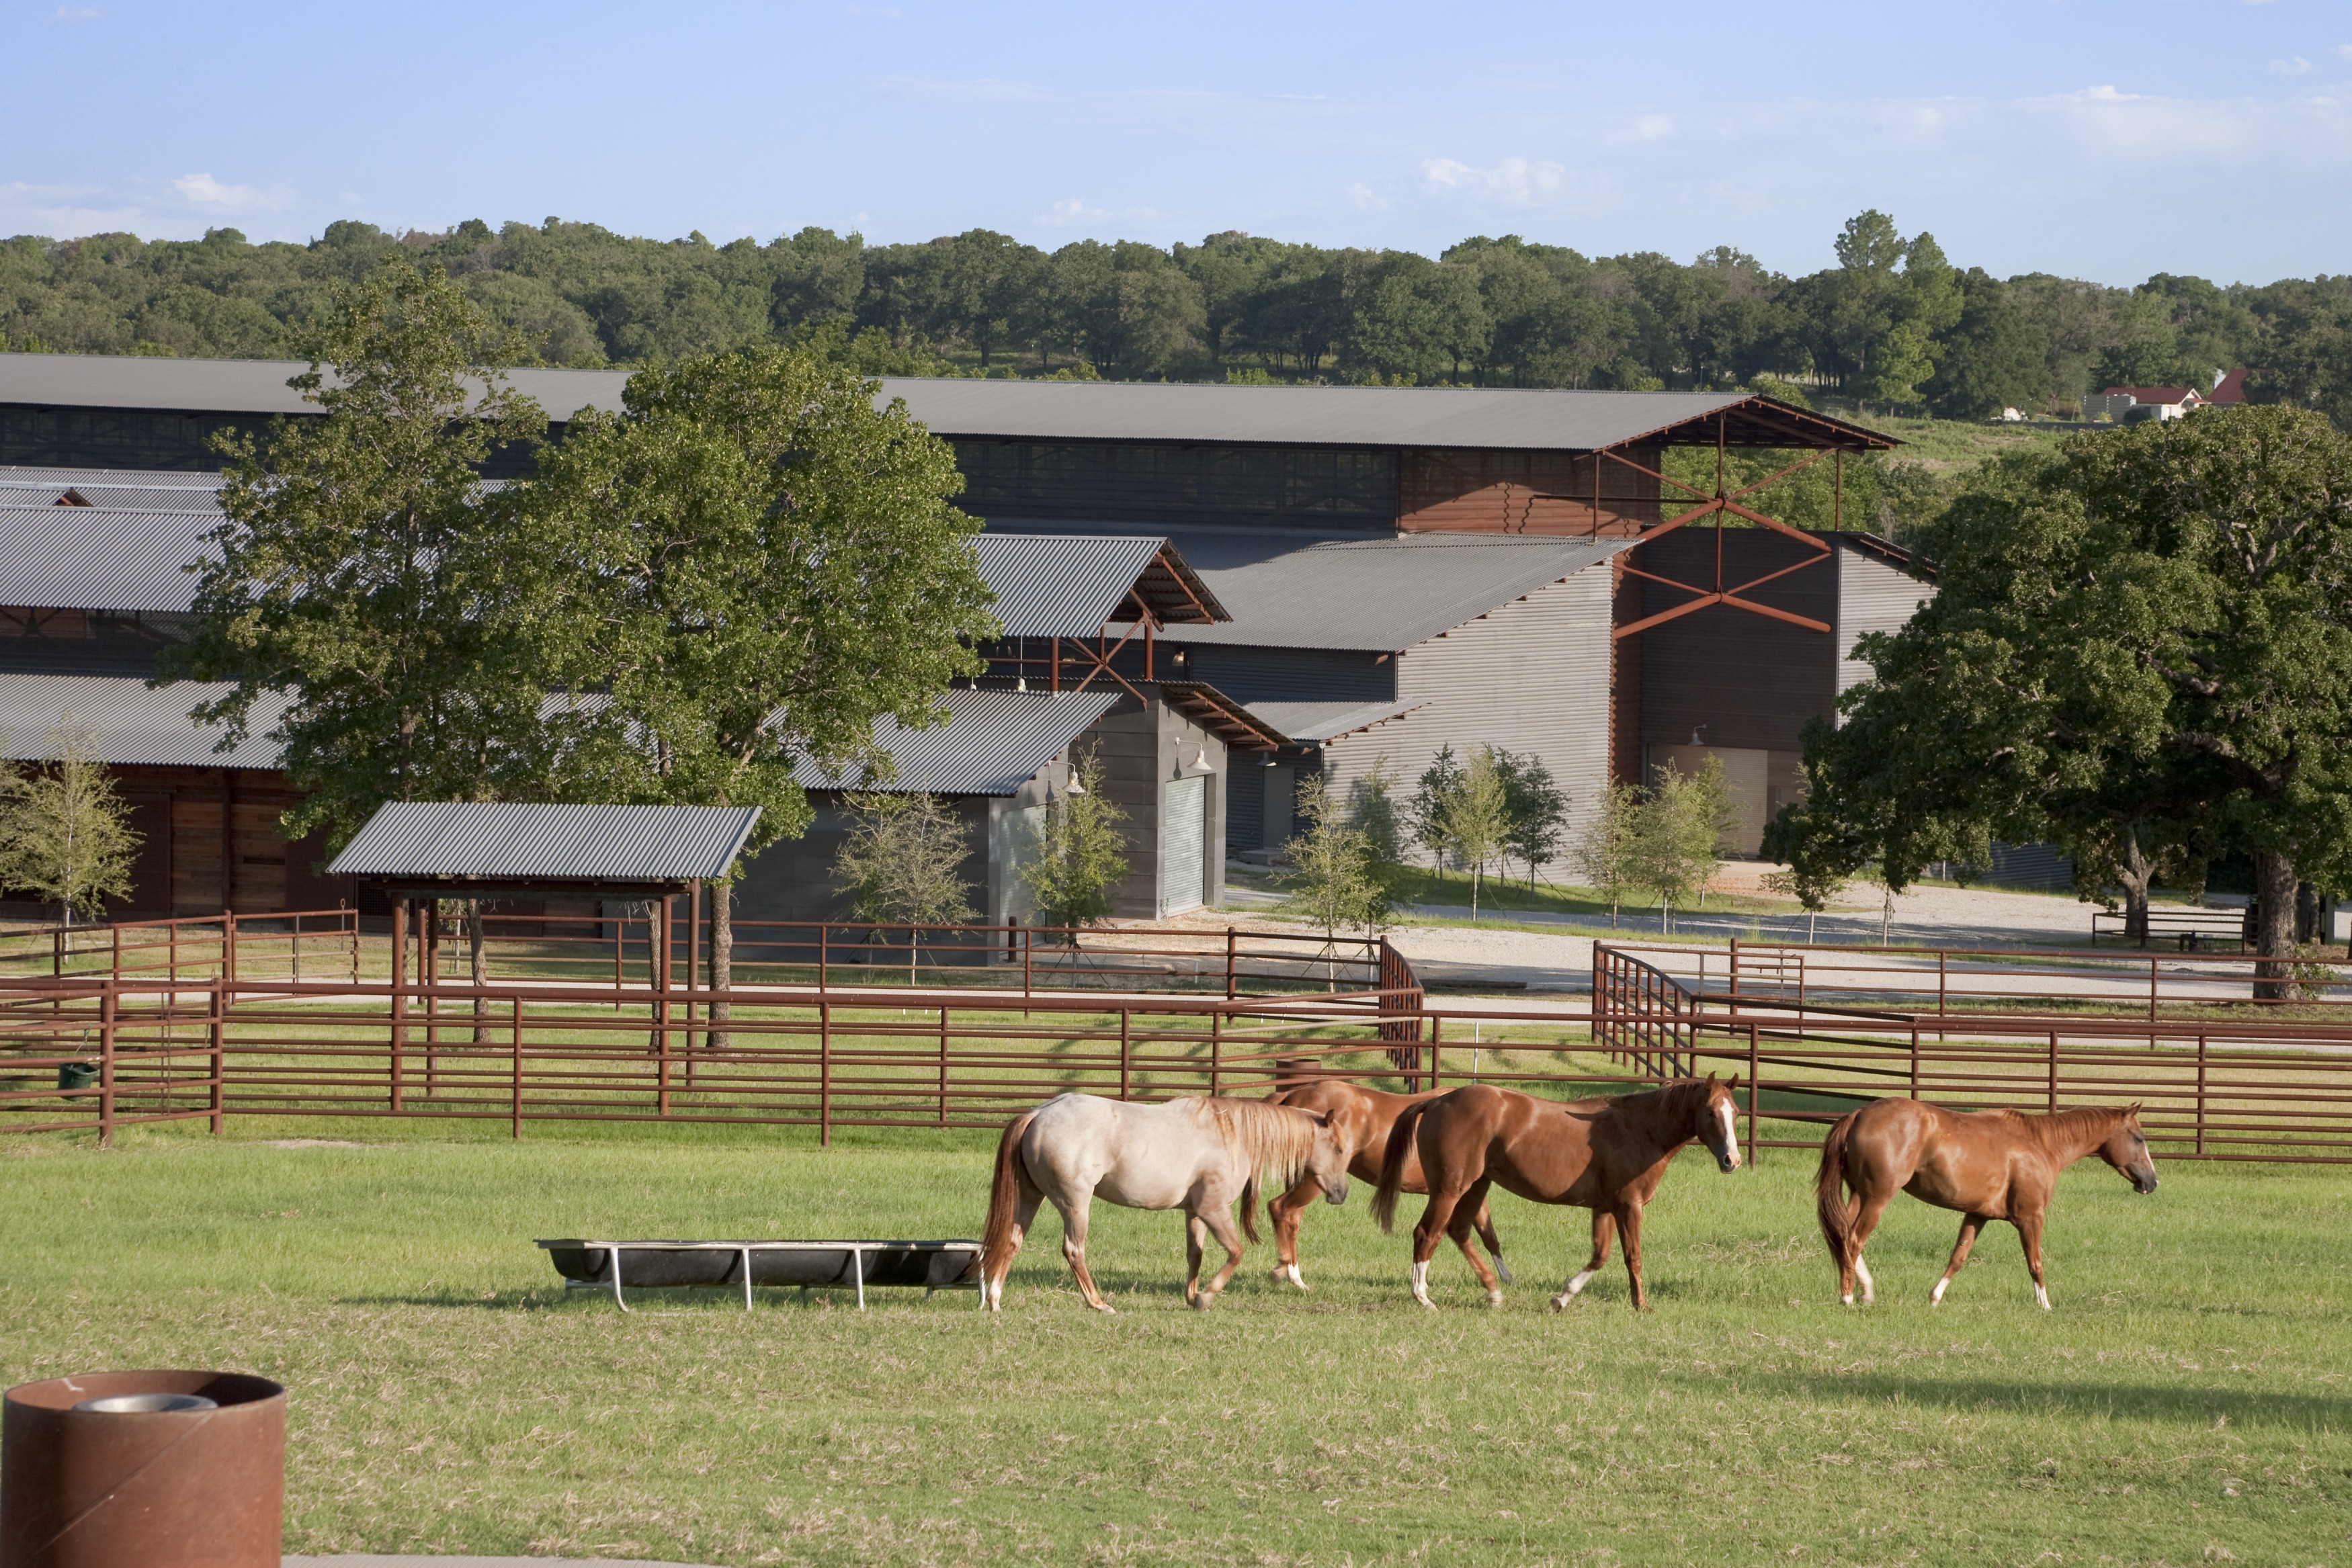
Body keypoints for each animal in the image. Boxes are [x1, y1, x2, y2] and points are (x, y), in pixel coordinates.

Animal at [974, 1100, 1345, 1316]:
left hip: (1030, 1197)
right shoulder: (1213, 1209)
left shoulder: (1195, 1213)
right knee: (1074, 1250)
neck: (1232, 1135)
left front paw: (1193, 1297)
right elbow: (1236, 1252)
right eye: (1340, 1149)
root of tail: (1037, 1114)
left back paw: (994, 1300)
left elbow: (1195, 1255)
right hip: (1075, 1203)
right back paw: (1098, 1303)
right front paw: (1207, 1296)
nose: (1341, 1193)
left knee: (1012, 1242)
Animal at [1261, 1086, 1515, 1297]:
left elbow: (1489, 1236)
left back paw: (1296, 1278)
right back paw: (1283, 1271)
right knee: (1279, 1208)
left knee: (1292, 1221)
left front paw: (1506, 1278)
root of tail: (1292, 1095)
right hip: (1311, 1183)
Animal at [1364, 1081, 1750, 1316]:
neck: (1641, 1128)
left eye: (1736, 1113)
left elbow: (1600, 1256)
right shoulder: (1629, 1207)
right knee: (1427, 1234)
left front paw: (1561, 1298)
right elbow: (1633, 1258)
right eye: (1711, 1112)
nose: (1732, 1160)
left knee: (1459, 1232)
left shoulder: (1604, 1208)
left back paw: (1494, 1292)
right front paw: (1641, 1305)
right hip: (1449, 1189)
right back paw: (1423, 1297)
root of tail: (1436, 1101)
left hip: (1476, 1186)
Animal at [1806, 1100, 2154, 1307]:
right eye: (2139, 1139)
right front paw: (2045, 1306)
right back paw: (1848, 1298)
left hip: (1859, 1194)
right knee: (1854, 1240)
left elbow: (1958, 1257)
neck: (2041, 1145)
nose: (2152, 1182)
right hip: (1877, 1197)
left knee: (1842, 1239)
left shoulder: (1976, 1215)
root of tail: (1858, 1115)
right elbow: (2036, 1263)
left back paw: (1865, 1291)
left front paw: (1934, 1299)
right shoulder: (2031, 1218)